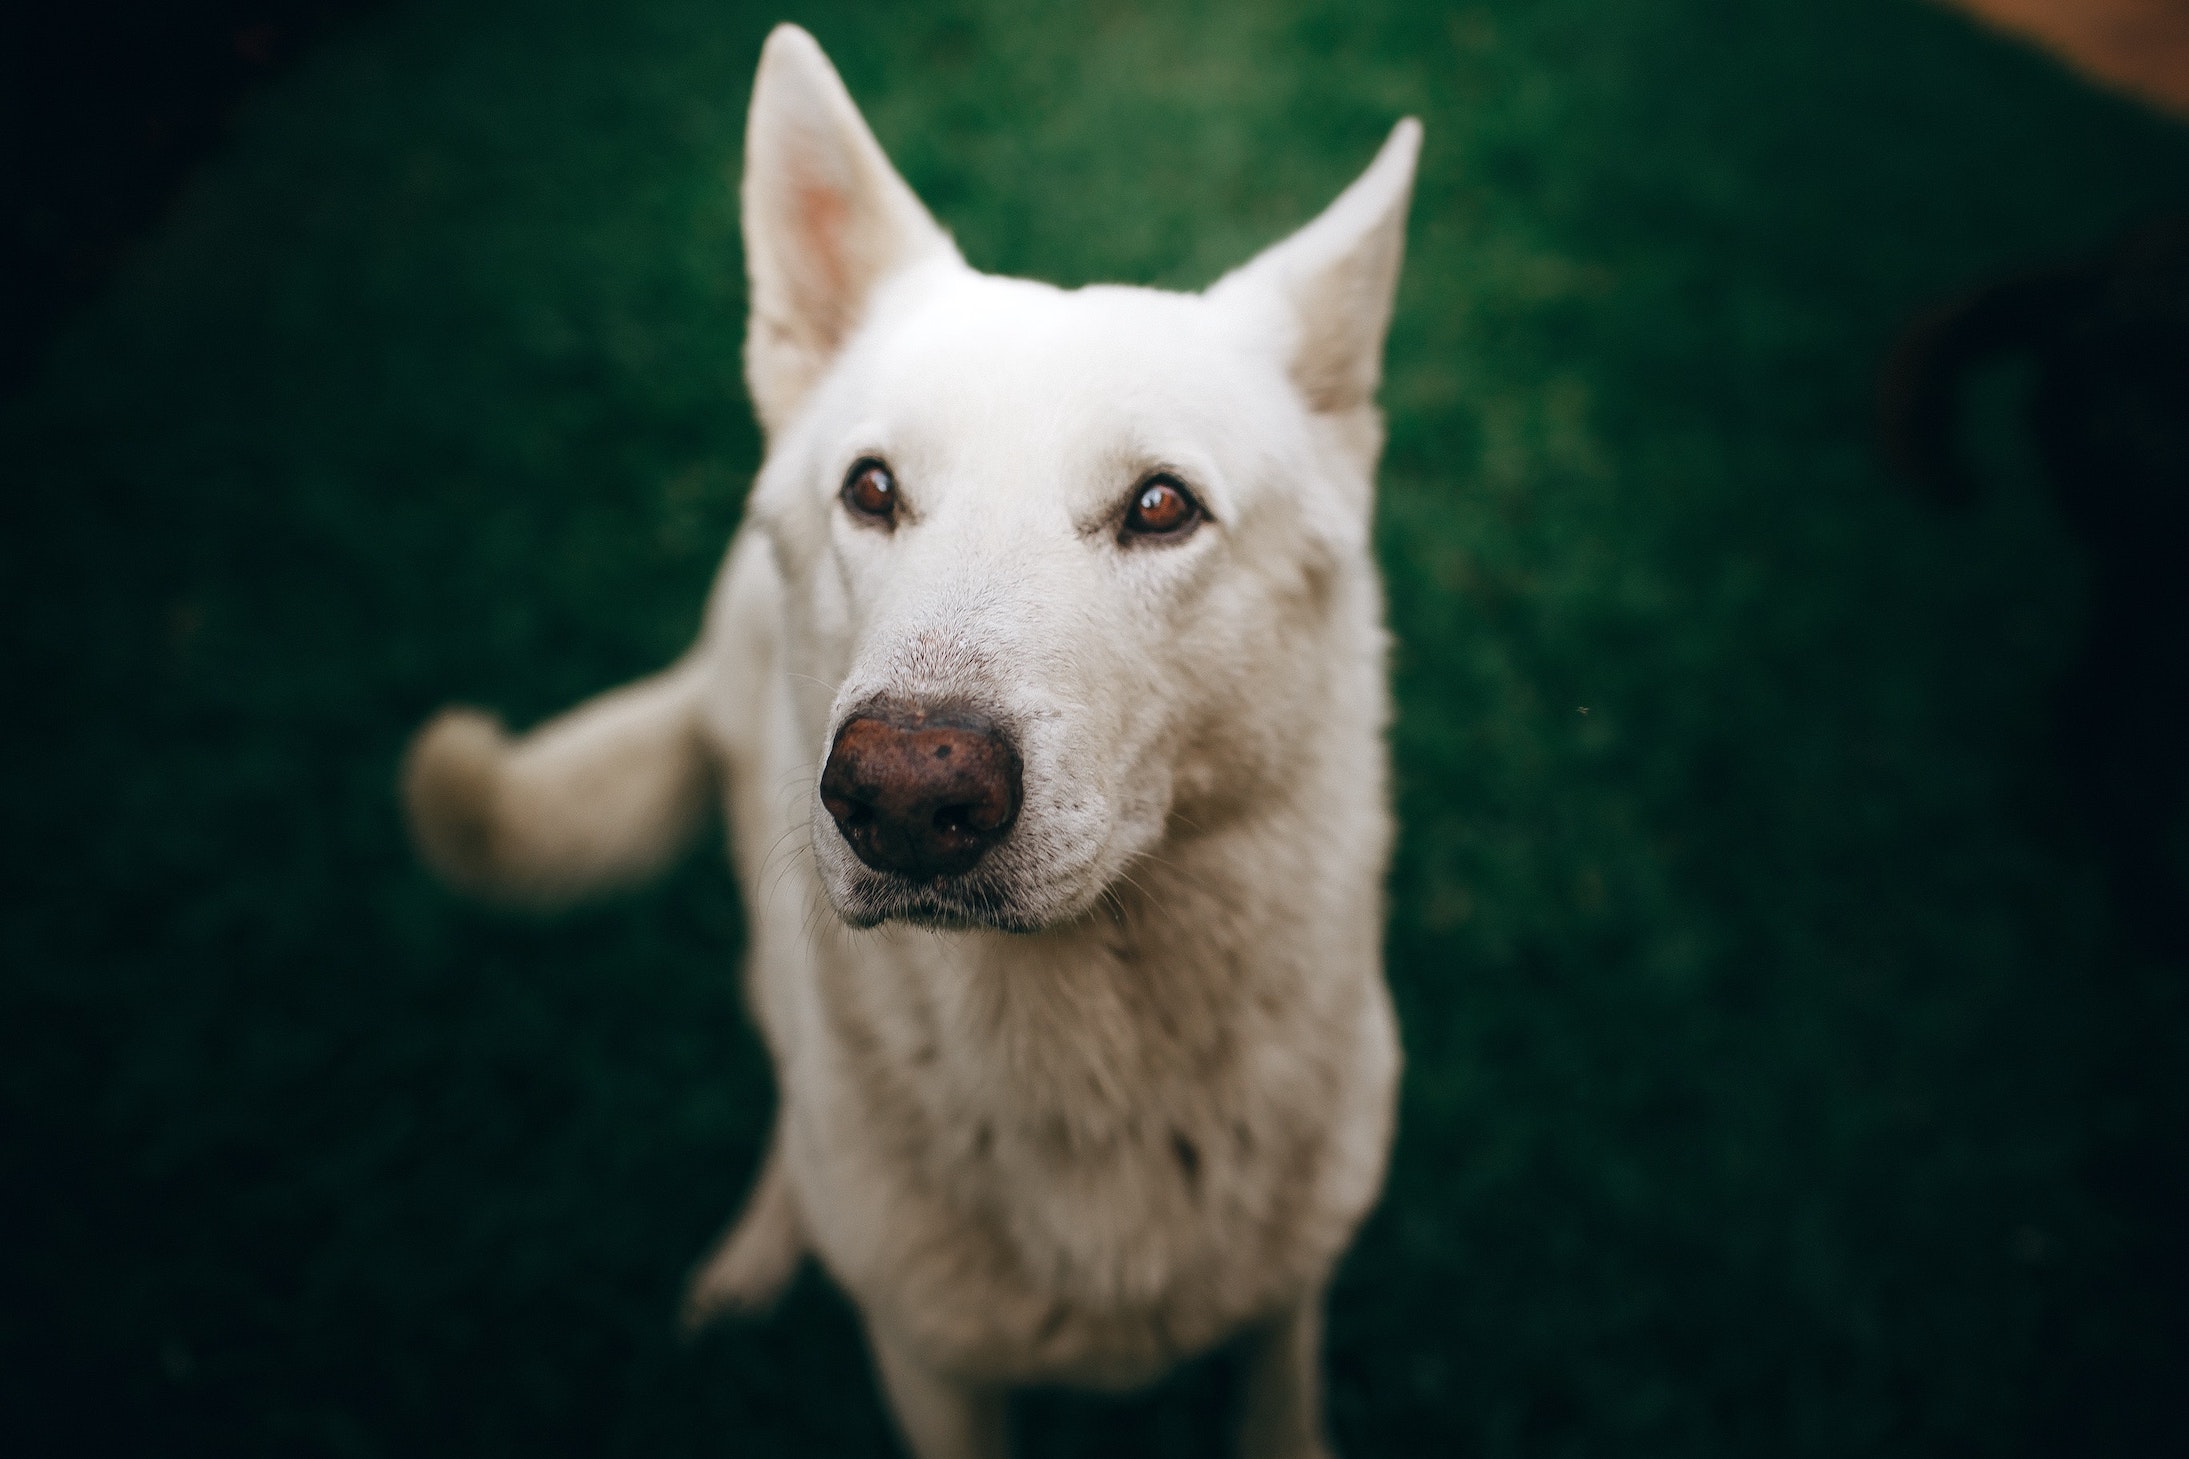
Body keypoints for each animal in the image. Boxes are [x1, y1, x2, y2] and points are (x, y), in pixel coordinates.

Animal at [400, 25, 1409, 1459]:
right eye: (871, 489)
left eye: (1161, 506)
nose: (900, 795)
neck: (1086, 1081)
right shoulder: (934, 1370)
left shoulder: (1287, 1305)